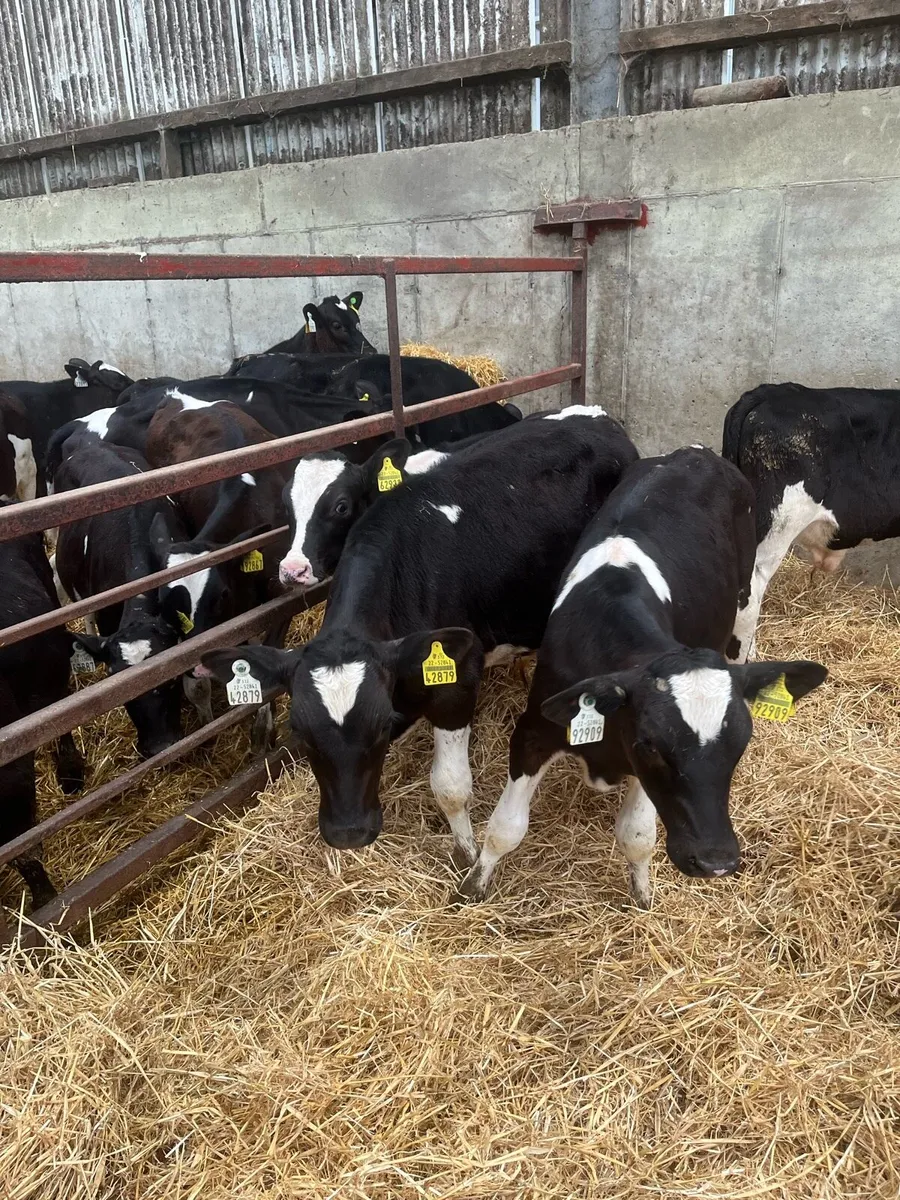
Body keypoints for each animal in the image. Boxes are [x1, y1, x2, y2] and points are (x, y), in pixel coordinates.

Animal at [199, 407, 639, 862]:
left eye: (340, 505)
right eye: (300, 734)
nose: (348, 833)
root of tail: (599, 416)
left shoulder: (457, 678)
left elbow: (450, 787)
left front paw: (467, 854)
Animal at [456, 447, 828, 906]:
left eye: (741, 743)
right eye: (650, 745)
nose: (715, 861)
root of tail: (696, 452)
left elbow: (636, 835)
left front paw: (642, 893)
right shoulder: (534, 730)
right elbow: (505, 828)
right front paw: (474, 882)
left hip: (744, 589)